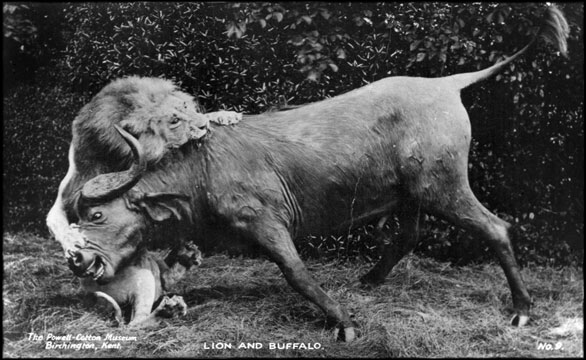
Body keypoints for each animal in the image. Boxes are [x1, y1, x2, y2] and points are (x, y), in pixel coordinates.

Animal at [54, 7, 564, 342]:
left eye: (96, 215)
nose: (78, 261)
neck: (202, 167)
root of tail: (446, 84)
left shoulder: (267, 222)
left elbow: (297, 272)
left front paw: (345, 323)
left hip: (444, 187)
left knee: (496, 227)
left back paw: (521, 312)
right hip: (410, 195)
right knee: (408, 236)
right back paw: (369, 280)